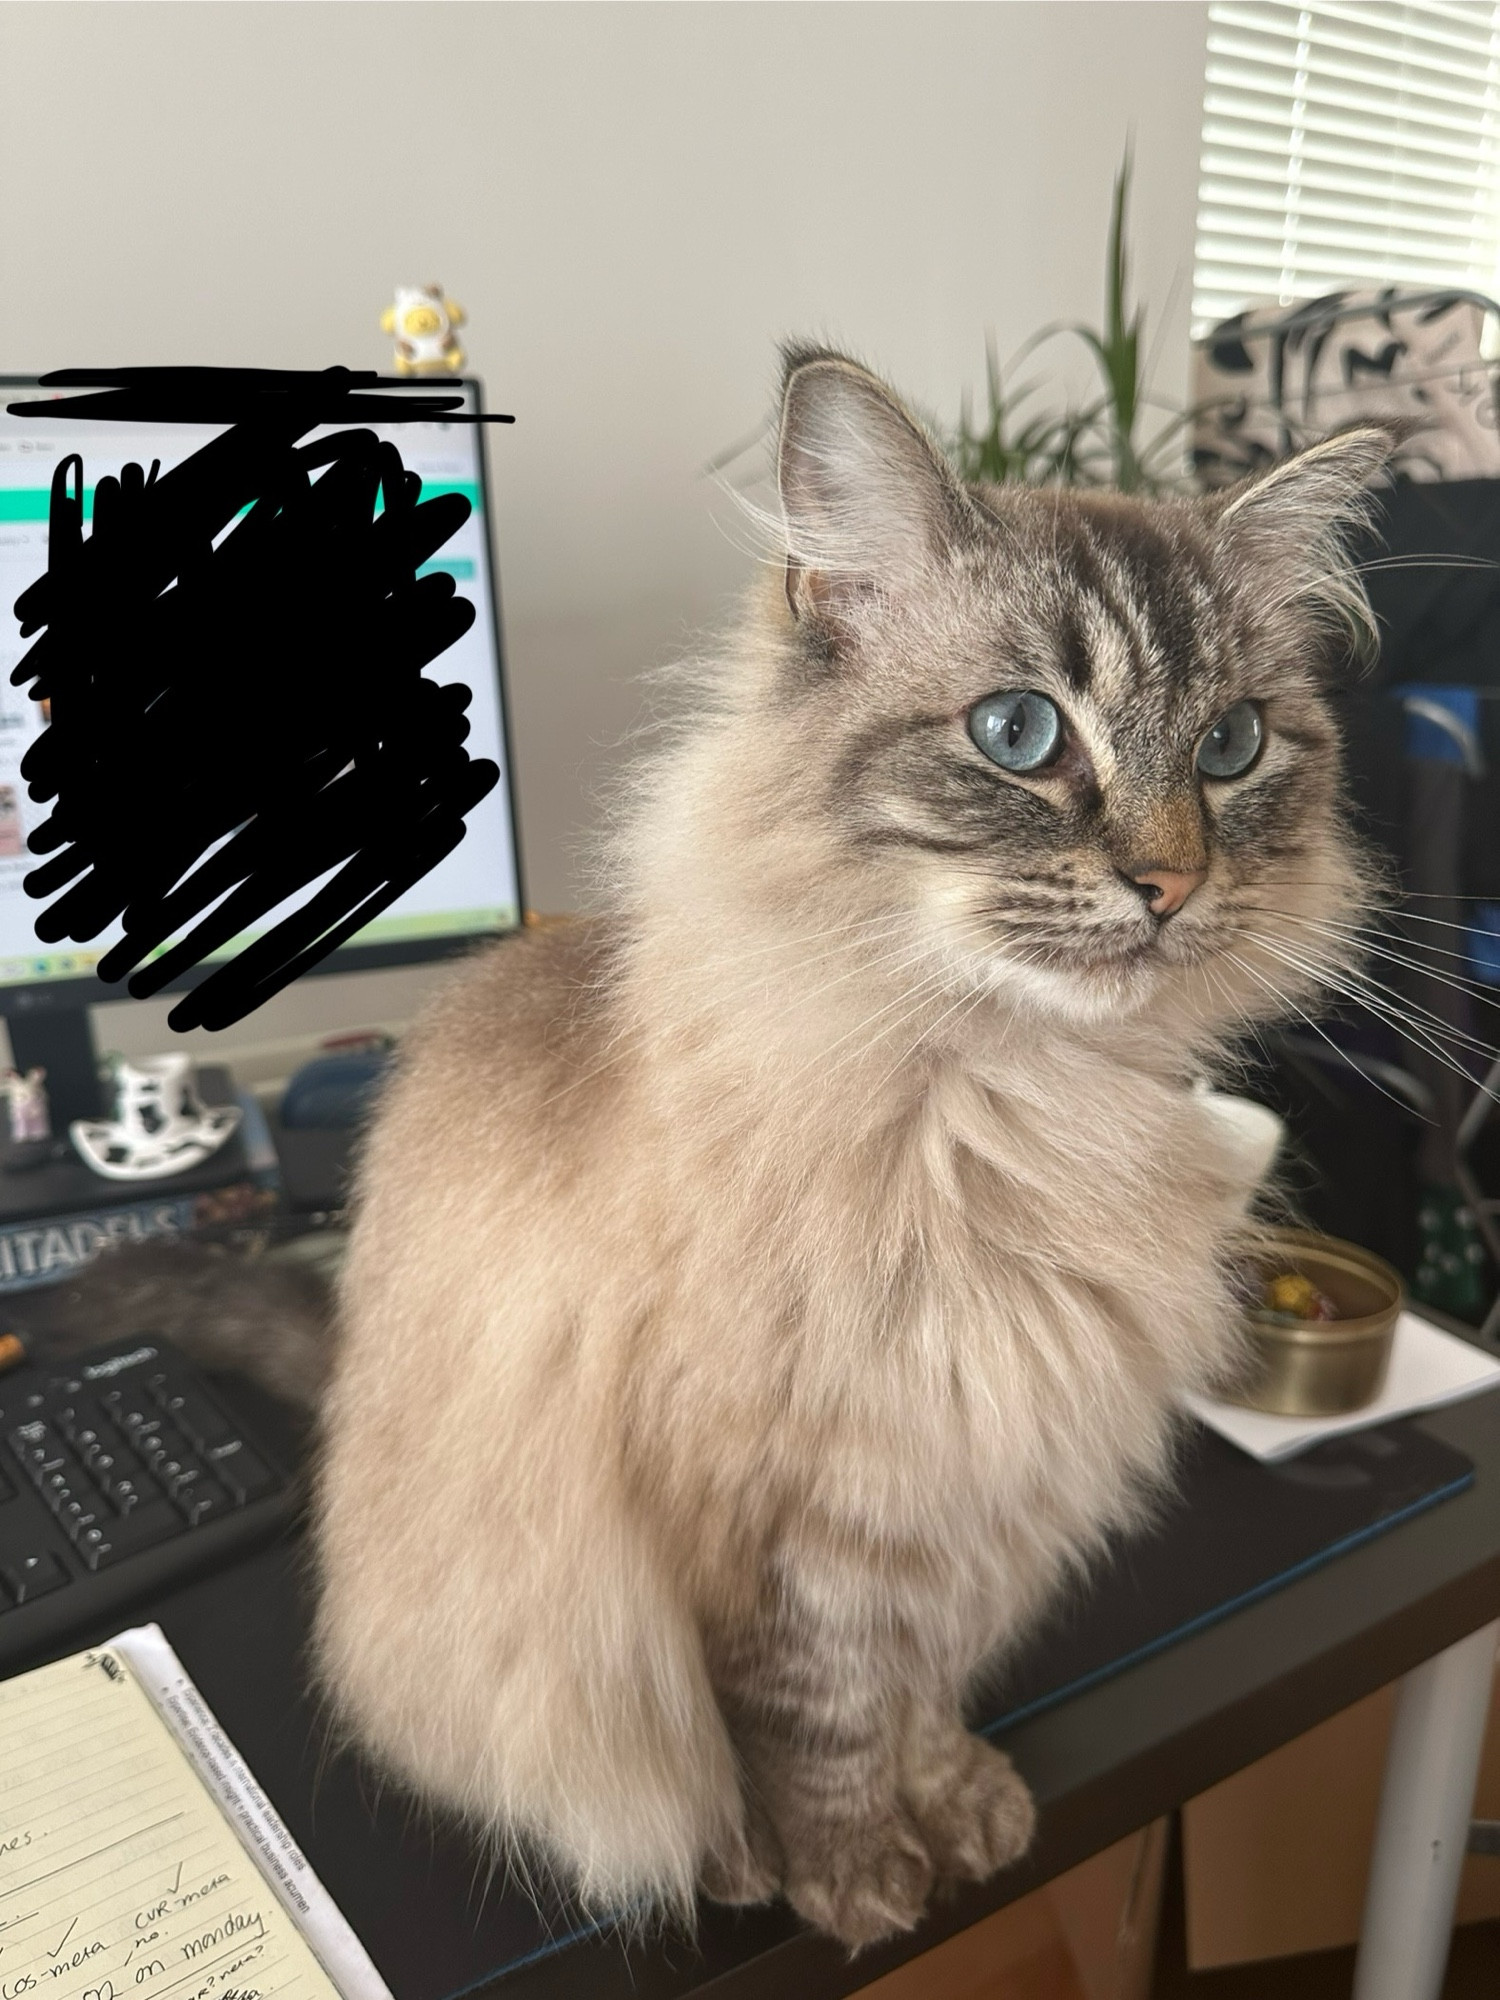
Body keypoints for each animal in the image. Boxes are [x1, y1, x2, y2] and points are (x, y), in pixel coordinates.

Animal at [23, 352, 1392, 1944]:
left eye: (1232, 747)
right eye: (1019, 735)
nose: (1171, 882)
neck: (1021, 1112)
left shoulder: (972, 1495)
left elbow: (920, 1694)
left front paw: (954, 1805)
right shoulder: (791, 1526)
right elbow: (814, 1729)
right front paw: (848, 1878)